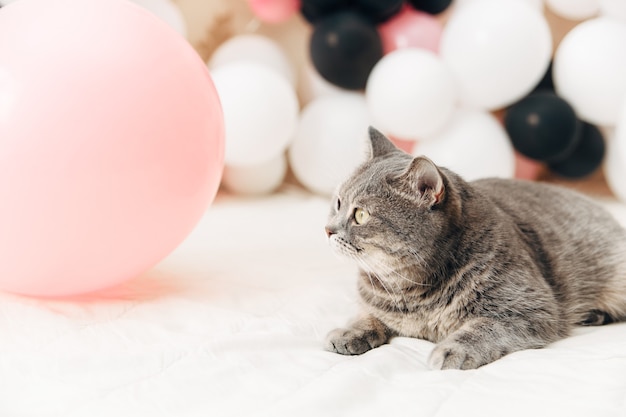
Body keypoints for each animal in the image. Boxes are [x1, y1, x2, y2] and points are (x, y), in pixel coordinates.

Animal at [324, 126, 624, 368]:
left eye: (361, 215)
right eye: (338, 203)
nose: (327, 229)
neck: (410, 290)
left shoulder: (530, 308)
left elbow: (482, 328)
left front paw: (451, 350)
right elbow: (367, 315)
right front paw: (349, 331)